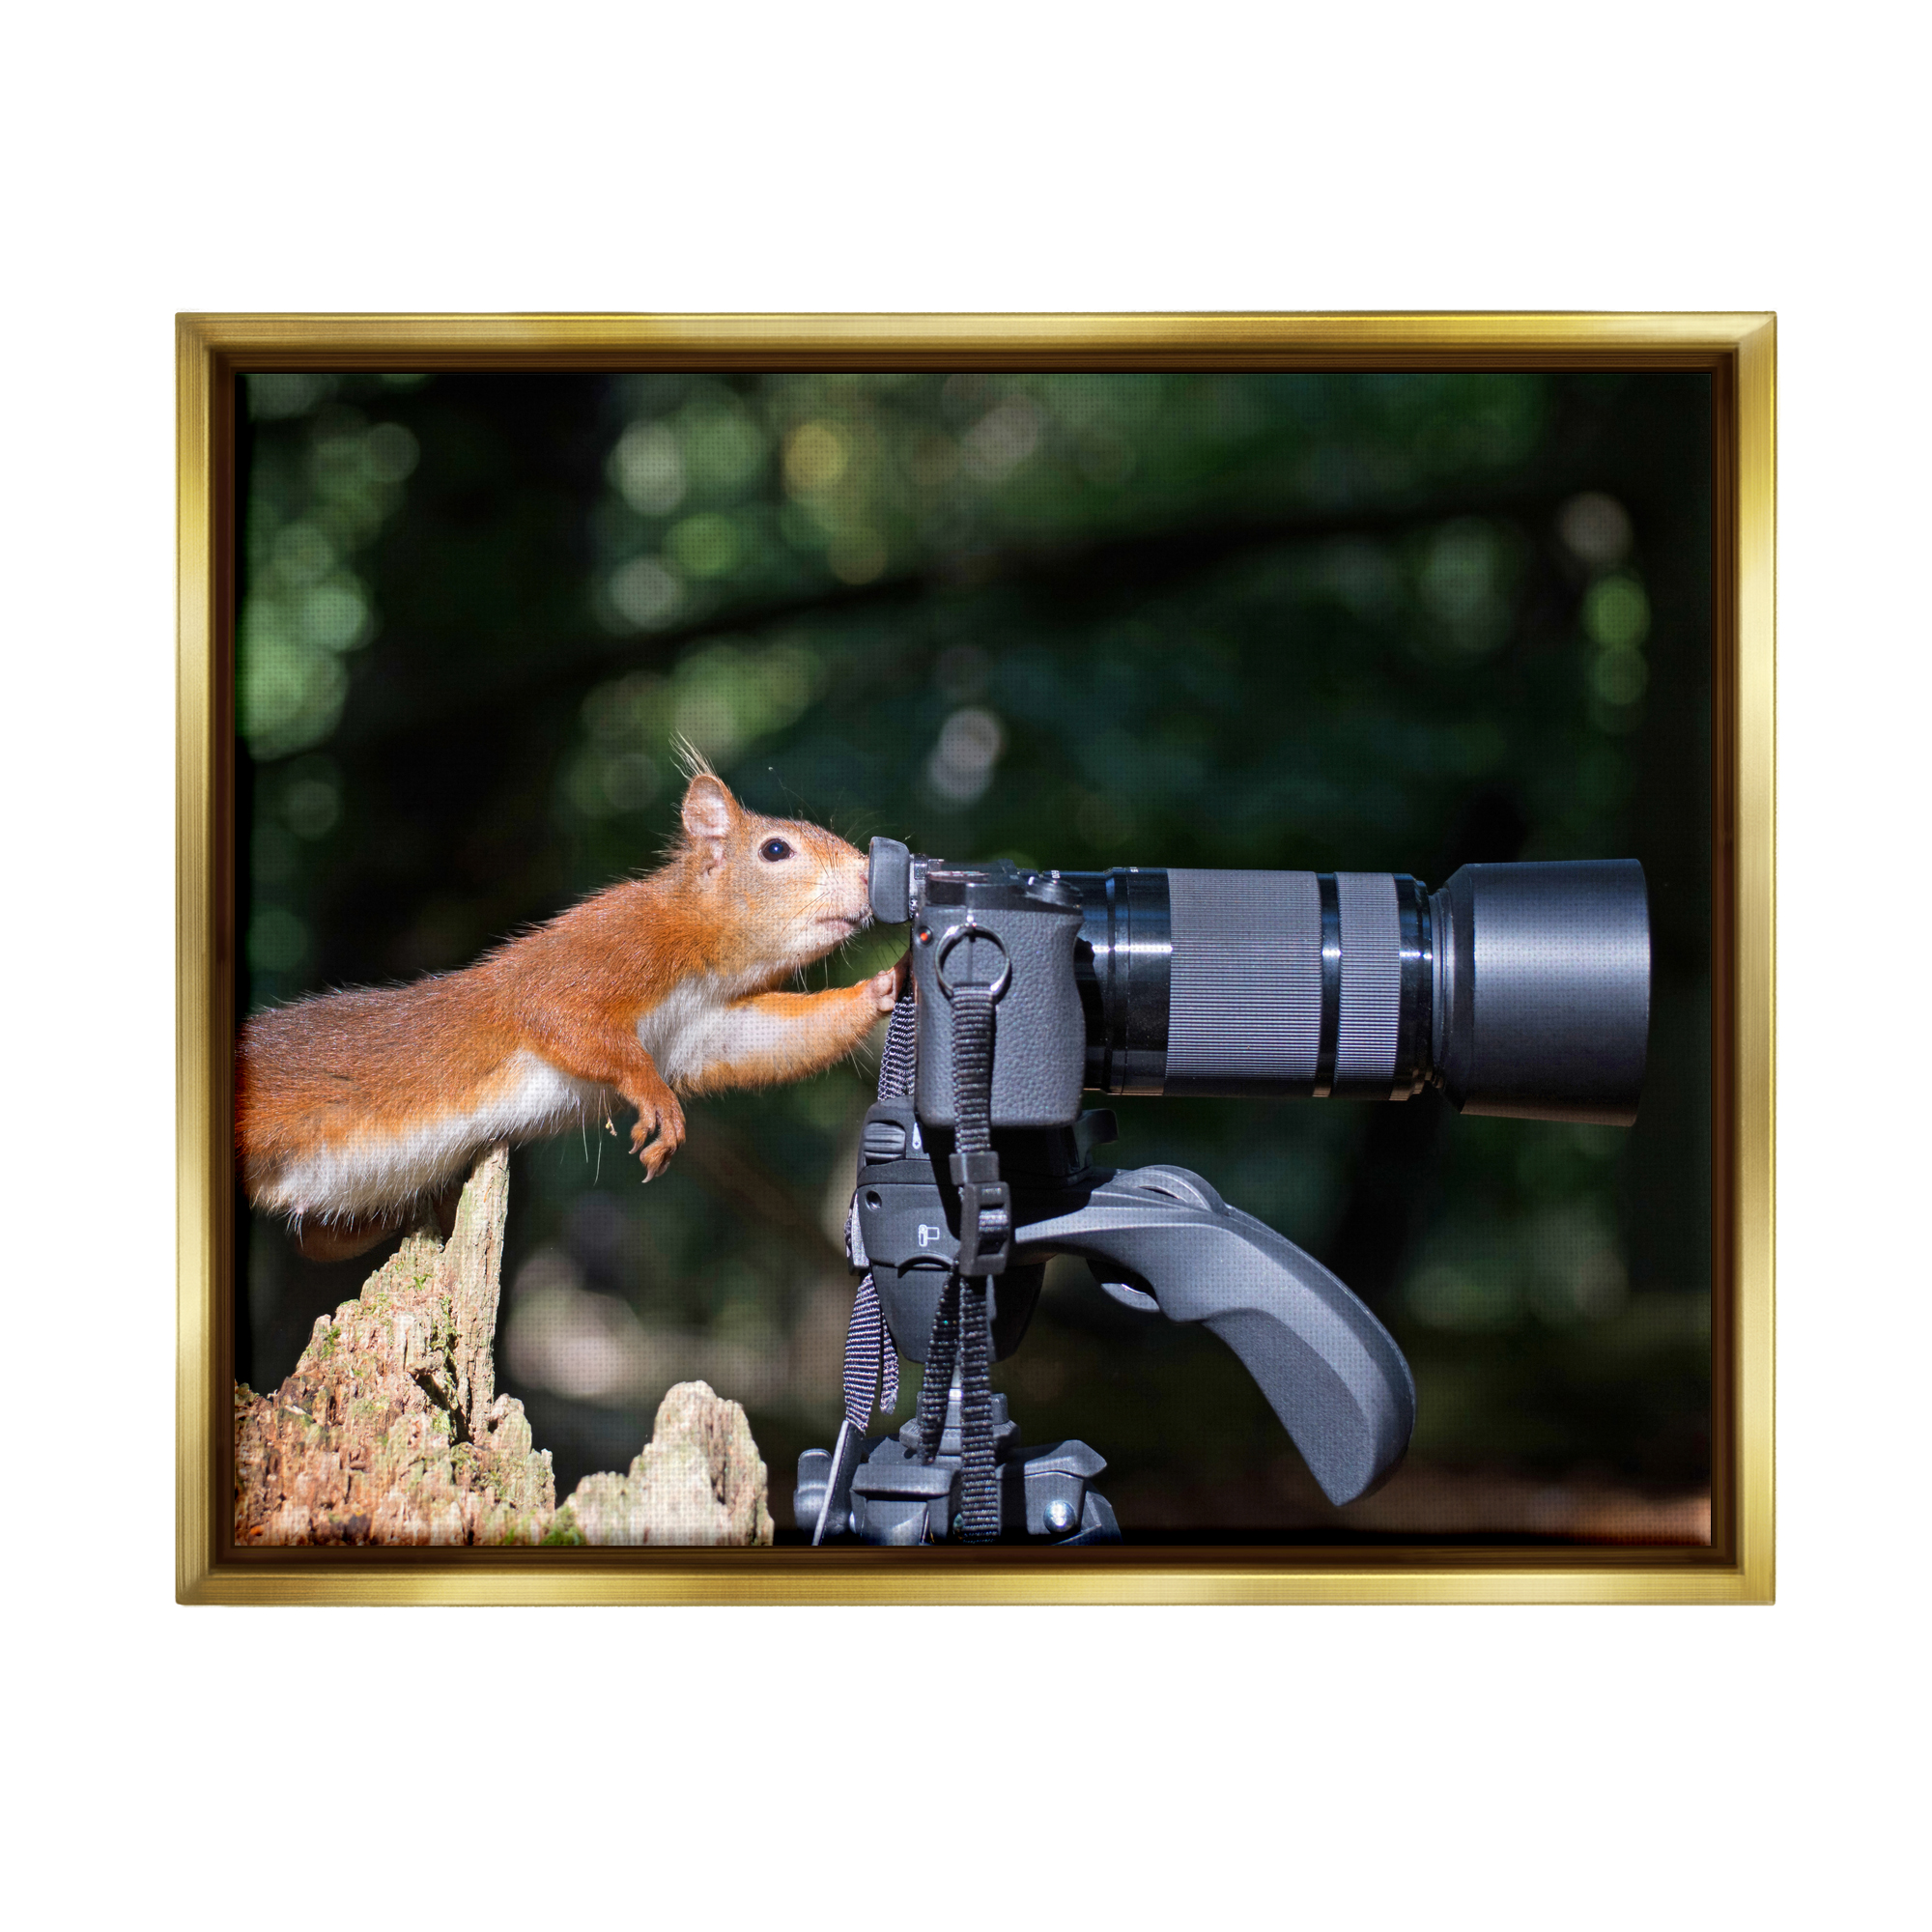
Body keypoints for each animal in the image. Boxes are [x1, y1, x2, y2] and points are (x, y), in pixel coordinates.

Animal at [237, 763, 905, 1263]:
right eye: (775, 849)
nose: (870, 876)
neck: (704, 955)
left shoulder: (705, 1029)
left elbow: (772, 1039)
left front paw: (889, 983)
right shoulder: (599, 952)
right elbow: (559, 1015)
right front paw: (654, 1098)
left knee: (319, 1241)